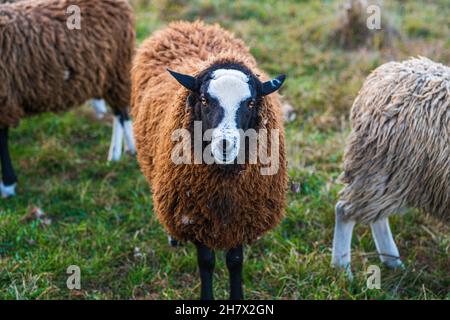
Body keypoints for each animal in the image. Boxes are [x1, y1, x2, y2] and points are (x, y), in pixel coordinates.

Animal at [0, 0, 137, 198]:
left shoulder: (5, 99)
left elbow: (2, 140)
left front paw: (8, 184)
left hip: (116, 70)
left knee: (120, 112)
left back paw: (117, 154)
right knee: (122, 111)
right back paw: (128, 148)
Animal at [131, 20, 288, 300]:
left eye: (250, 103)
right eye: (204, 99)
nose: (225, 144)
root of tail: (186, 25)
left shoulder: (241, 214)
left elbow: (235, 261)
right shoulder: (195, 215)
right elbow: (206, 261)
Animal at [332, 57, 448, 276]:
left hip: (394, 174)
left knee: (376, 217)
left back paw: (392, 262)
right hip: (389, 169)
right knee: (345, 211)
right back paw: (343, 270)